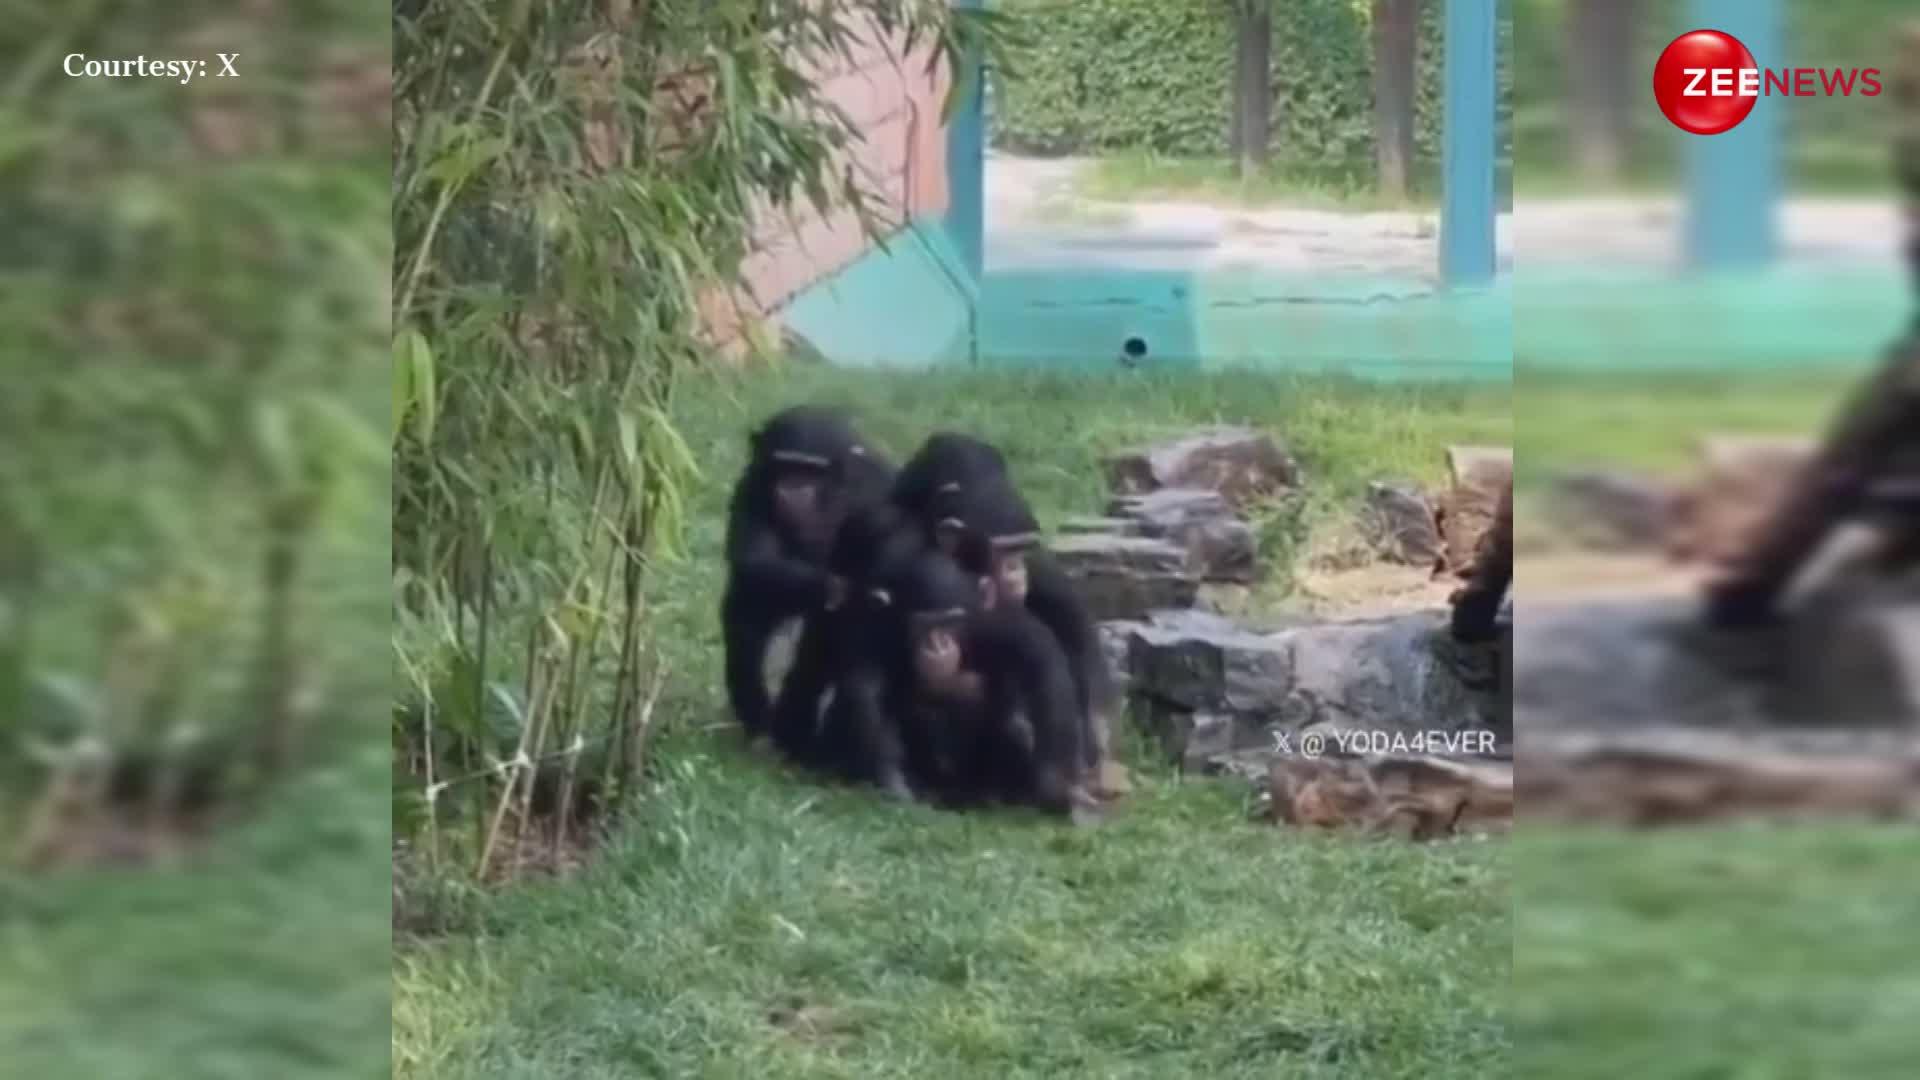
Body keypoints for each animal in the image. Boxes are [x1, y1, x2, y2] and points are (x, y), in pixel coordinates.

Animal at [721, 405, 894, 737]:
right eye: (785, 466)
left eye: (813, 472)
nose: (793, 488)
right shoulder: (752, 487)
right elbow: (756, 560)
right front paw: (838, 587)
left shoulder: (879, 491)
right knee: (747, 616)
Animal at [883, 549, 1098, 818]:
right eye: (924, 624)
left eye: (949, 622)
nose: (938, 645)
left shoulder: (994, 625)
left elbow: (1045, 667)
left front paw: (1058, 785)